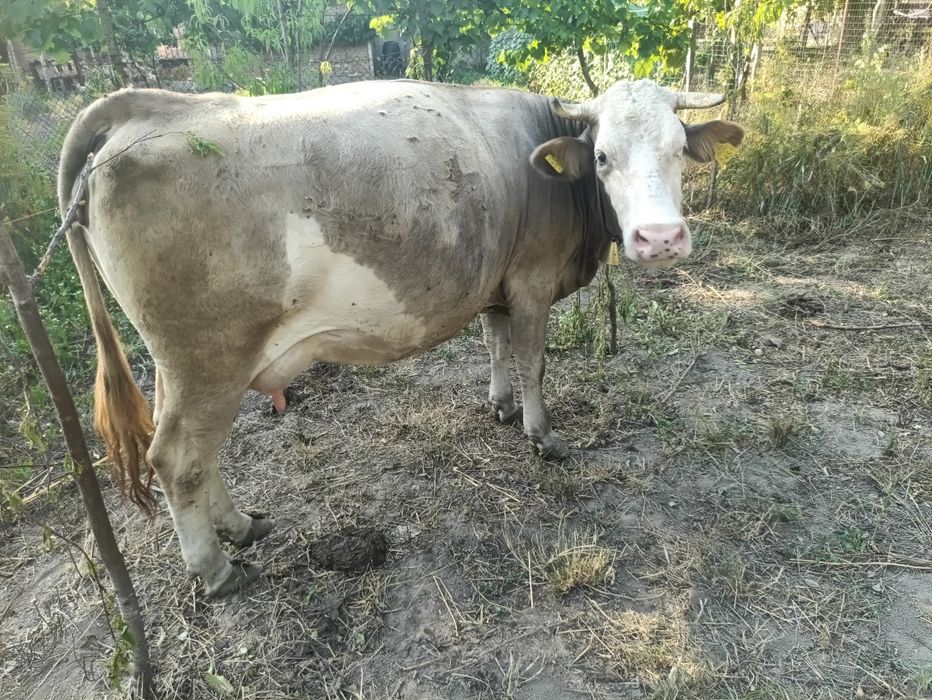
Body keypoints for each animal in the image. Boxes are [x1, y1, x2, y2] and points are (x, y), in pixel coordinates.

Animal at [58, 78, 743, 596]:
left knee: (200, 454)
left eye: (679, 149)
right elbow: (533, 361)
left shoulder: (498, 283)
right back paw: (218, 569)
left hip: (183, 365)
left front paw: (499, 407)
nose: (661, 239)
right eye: (602, 156)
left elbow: (496, 347)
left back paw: (241, 524)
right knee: (179, 458)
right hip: (209, 356)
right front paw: (541, 435)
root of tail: (158, 104)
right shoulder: (530, 280)